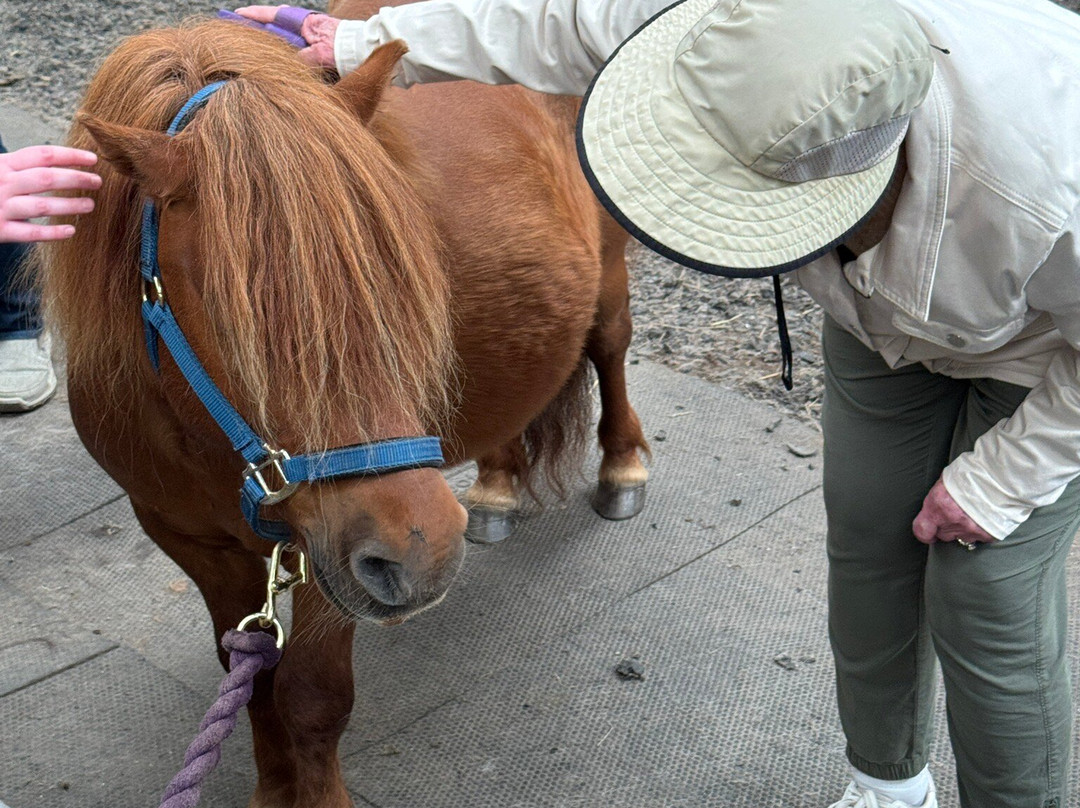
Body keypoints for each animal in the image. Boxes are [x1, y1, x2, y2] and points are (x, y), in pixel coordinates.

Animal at [41, 8, 648, 807]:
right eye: (233, 312)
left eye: (402, 275)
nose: (424, 550)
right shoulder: (195, 541)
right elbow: (250, 680)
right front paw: (272, 790)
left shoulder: (324, 543)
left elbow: (311, 696)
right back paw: (496, 483)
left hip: (607, 270)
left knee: (610, 344)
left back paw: (622, 466)